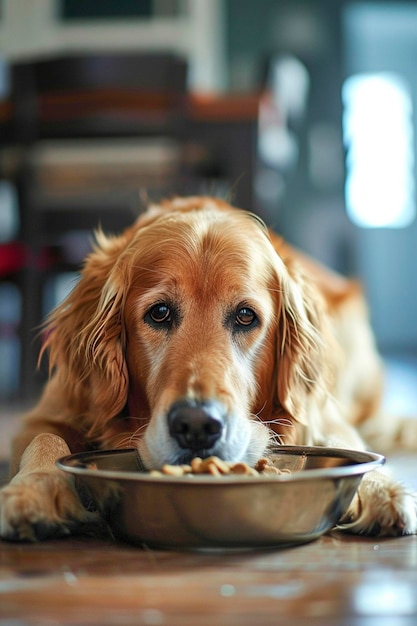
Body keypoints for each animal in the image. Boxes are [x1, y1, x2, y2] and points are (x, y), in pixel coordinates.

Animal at [0, 197, 416, 540]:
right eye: (159, 313)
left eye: (246, 316)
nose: (197, 426)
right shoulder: (51, 411)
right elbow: (45, 439)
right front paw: (34, 489)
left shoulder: (320, 413)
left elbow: (345, 443)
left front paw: (381, 486)